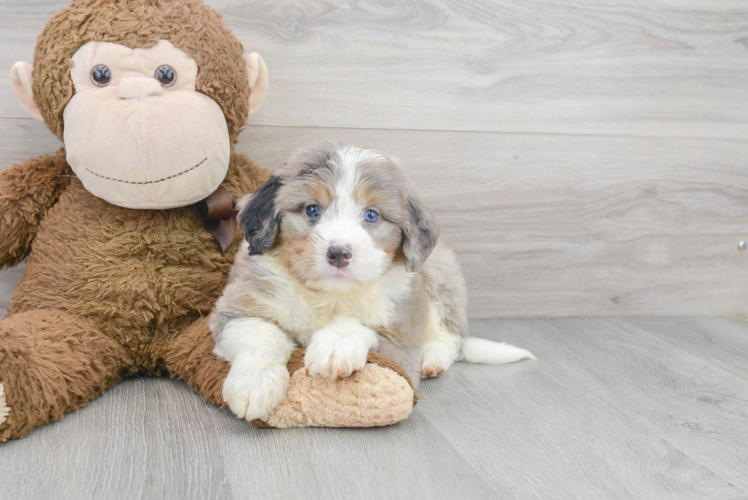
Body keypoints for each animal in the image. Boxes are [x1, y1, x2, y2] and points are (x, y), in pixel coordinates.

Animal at [207, 143, 536, 420]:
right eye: (312, 209)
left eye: (372, 215)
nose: (339, 253)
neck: (328, 295)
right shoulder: (236, 308)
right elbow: (262, 334)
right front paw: (255, 385)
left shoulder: (401, 338)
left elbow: (359, 324)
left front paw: (334, 346)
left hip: (440, 277)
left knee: (450, 338)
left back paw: (432, 358)